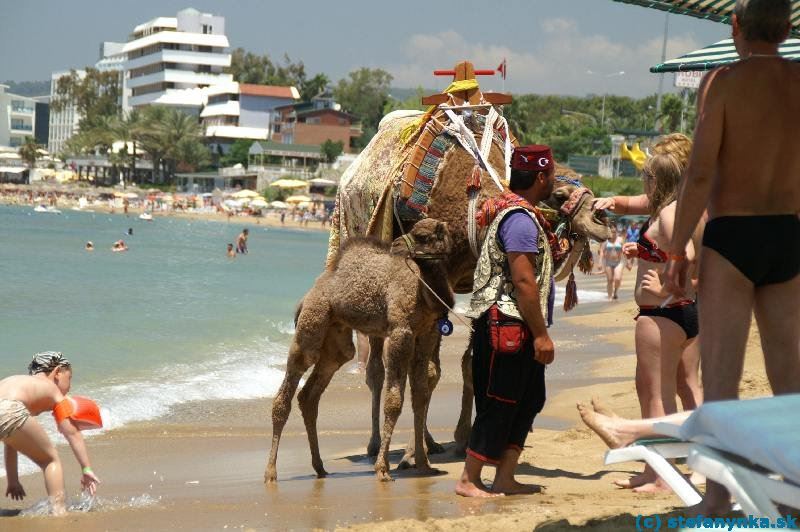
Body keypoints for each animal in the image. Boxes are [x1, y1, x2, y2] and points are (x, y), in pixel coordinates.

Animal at [266, 218, 454, 484]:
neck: (424, 291)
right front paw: (383, 469)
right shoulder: (401, 332)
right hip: (313, 321)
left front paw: (424, 464)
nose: (396, 244)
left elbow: (419, 395)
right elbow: (394, 401)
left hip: (337, 340)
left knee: (310, 394)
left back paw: (320, 467)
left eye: (423, 236)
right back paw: (271, 473)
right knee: (290, 386)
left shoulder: (426, 333)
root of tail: (307, 297)